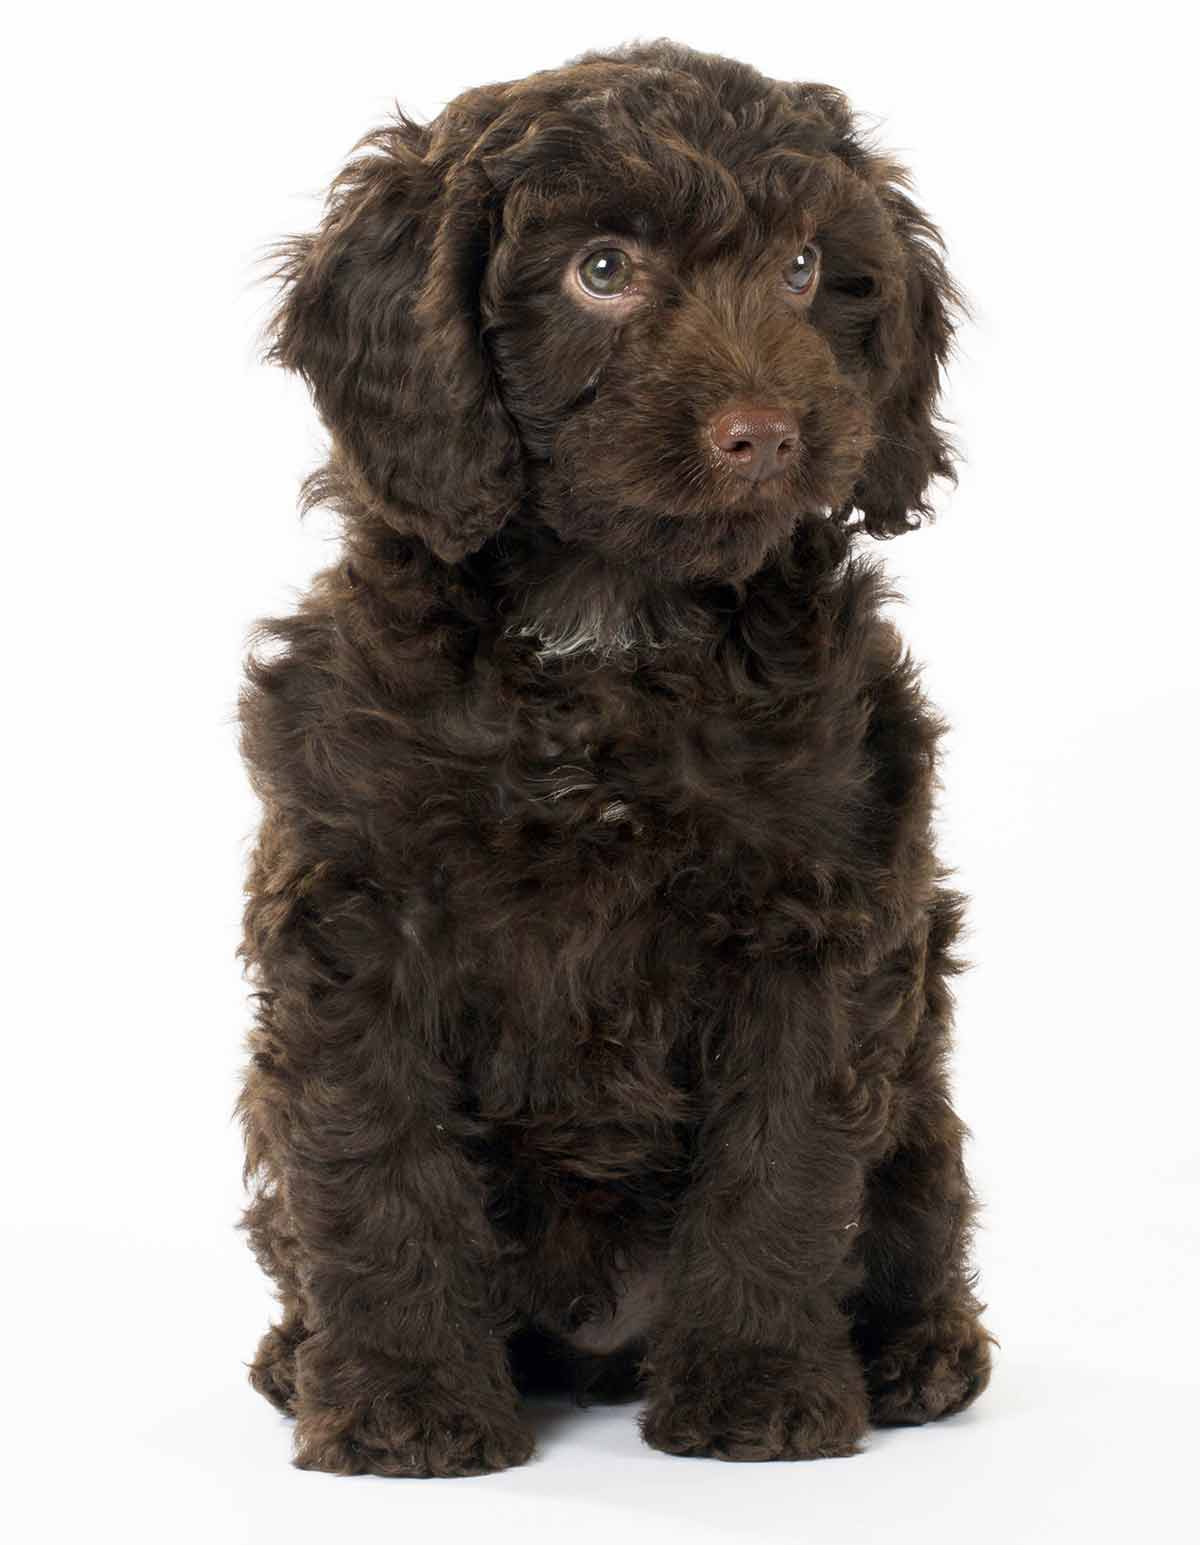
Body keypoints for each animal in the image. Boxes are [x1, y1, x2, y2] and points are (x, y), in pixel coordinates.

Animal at [236, 42, 994, 1477]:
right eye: (602, 269)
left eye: (804, 268)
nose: (767, 433)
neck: (607, 624)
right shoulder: (358, 910)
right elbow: (375, 1159)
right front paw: (405, 1402)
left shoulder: (818, 912)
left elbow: (782, 1159)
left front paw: (757, 1383)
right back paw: (297, 1358)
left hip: (923, 1103)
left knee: (917, 1210)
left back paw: (915, 1354)